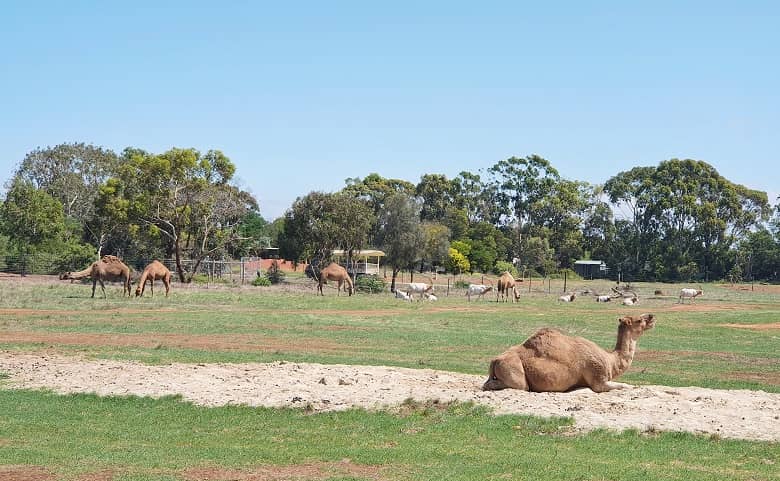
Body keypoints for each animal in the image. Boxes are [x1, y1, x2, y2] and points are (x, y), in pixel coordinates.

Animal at [484, 314, 656, 392]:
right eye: (639, 320)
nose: (651, 316)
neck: (610, 360)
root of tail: (494, 360)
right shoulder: (598, 378)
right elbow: (624, 386)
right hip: (515, 372)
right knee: (518, 386)